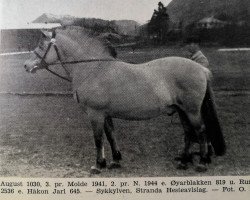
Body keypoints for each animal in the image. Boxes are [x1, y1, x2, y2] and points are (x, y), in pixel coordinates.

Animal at [23, 28, 227, 173]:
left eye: (41, 46)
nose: (26, 65)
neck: (94, 69)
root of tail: (201, 69)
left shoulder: (95, 114)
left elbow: (98, 139)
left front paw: (98, 165)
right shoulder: (105, 114)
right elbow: (111, 135)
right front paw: (115, 160)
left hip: (192, 111)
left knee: (200, 132)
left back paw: (201, 163)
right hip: (181, 111)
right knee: (188, 133)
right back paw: (184, 161)